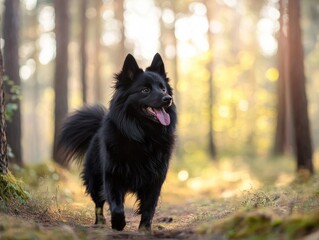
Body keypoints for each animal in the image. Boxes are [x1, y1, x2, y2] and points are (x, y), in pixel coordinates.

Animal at [57, 53, 178, 232]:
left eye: (163, 88)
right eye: (145, 90)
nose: (167, 98)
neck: (143, 136)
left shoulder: (154, 180)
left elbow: (148, 208)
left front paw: (144, 229)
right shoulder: (112, 176)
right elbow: (117, 207)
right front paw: (118, 224)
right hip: (95, 179)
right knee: (98, 203)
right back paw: (100, 223)